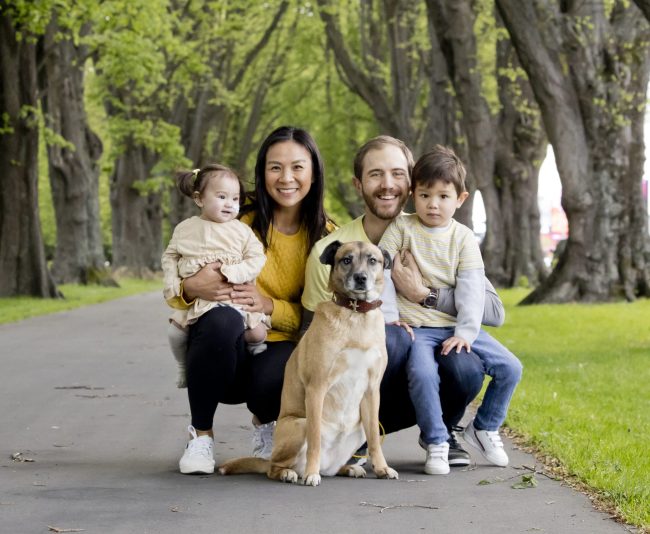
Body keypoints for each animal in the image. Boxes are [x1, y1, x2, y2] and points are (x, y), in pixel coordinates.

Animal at [220, 241, 398, 488]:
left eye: (373, 260)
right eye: (346, 260)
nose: (361, 278)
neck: (354, 314)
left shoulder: (372, 391)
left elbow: (374, 438)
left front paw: (382, 468)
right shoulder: (317, 388)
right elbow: (315, 440)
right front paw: (311, 475)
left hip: (357, 428)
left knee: (335, 465)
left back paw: (347, 468)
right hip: (299, 424)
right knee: (274, 467)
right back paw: (293, 473)